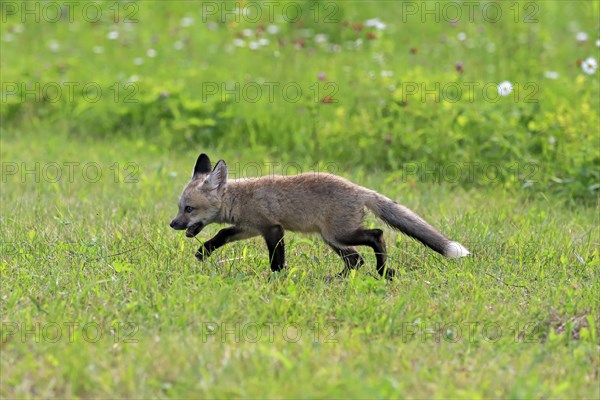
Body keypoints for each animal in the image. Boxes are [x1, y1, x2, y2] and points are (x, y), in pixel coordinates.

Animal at [169, 152, 468, 280]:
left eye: (189, 209)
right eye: (179, 207)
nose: (173, 224)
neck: (240, 198)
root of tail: (360, 189)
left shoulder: (273, 229)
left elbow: (276, 260)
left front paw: (276, 279)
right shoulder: (250, 227)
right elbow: (222, 233)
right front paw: (204, 252)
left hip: (340, 234)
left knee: (377, 236)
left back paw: (383, 271)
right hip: (332, 239)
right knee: (356, 260)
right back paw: (337, 279)